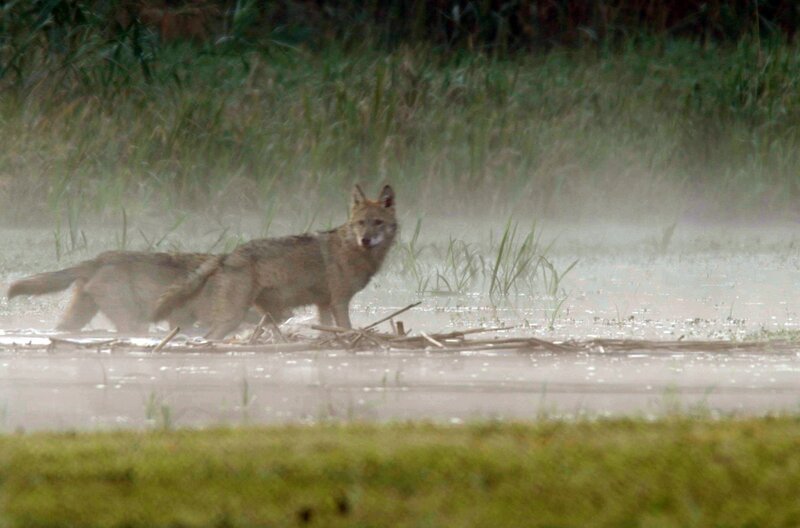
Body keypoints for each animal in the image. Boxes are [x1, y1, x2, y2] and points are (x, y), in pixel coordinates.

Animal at [7, 251, 287, 333]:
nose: (284, 317)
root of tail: (97, 259)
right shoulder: (183, 314)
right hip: (124, 306)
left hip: (83, 305)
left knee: (66, 325)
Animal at [153, 184, 397, 339]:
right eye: (360, 223)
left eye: (377, 222)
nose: (365, 240)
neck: (352, 250)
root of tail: (227, 255)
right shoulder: (339, 302)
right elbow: (346, 329)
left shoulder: (324, 304)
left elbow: (326, 331)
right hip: (235, 317)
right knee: (209, 336)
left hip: (273, 314)